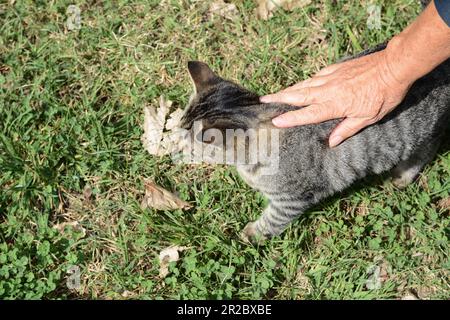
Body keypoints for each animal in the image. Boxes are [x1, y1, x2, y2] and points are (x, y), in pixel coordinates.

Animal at [180, 52, 450, 242]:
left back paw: (403, 175)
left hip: (419, 134)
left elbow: (272, 220)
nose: (178, 149)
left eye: (189, 146)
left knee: (428, 147)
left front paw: (253, 234)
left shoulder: (292, 199)